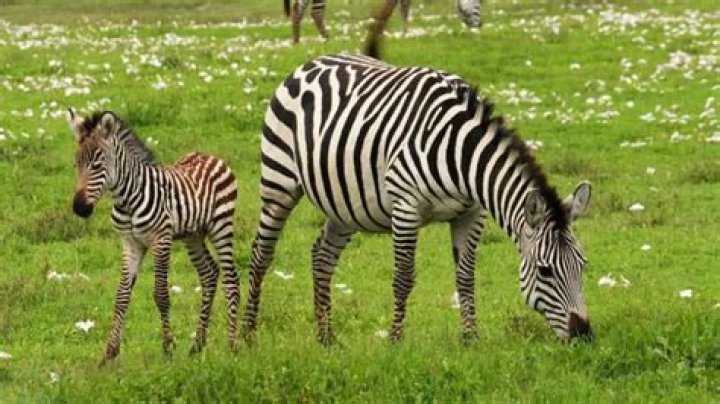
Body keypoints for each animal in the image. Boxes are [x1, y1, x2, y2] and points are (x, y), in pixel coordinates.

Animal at [68, 109, 240, 364]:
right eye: (76, 163)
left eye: (97, 164)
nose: (79, 208)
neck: (127, 199)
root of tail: (211, 156)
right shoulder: (130, 243)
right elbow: (121, 296)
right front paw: (109, 353)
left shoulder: (161, 239)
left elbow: (161, 295)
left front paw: (168, 348)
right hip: (193, 236)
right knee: (209, 274)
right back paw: (197, 345)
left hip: (221, 226)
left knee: (231, 280)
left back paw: (231, 345)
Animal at [244, 4, 592, 345]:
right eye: (545, 271)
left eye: (583, 265)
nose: (584, 335)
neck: (461, 158)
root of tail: (311, 62)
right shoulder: (406, 207)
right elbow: (403, 276)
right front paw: (395, 340)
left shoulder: (472, 213)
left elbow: (466, 276)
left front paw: (470, 338)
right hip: (279, 181)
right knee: (262, 252)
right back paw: (247, 334)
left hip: (343, 203)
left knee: (322, 256)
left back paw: (325, 336)